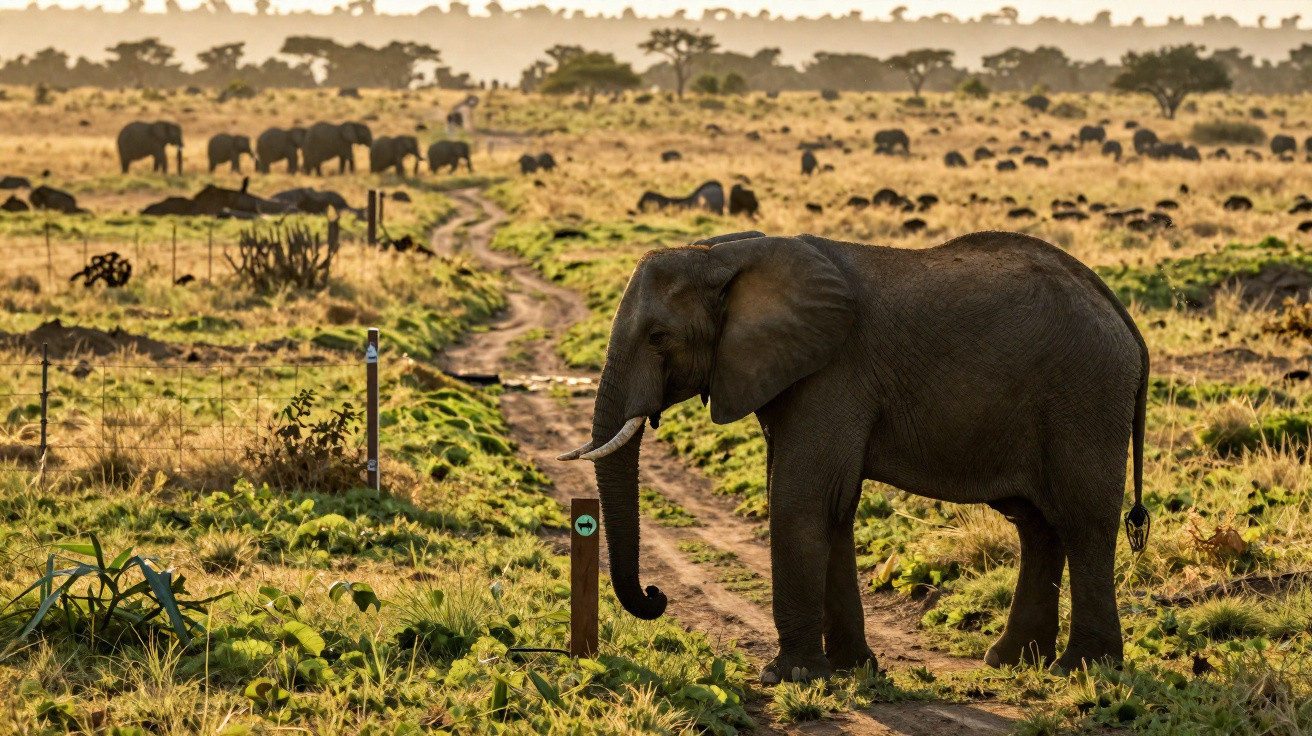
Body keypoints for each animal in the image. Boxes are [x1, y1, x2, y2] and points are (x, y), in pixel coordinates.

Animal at [557, 229, 1149, 683]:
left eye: (659, 337)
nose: (656, 595)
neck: (725, 255)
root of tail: (1119, 313)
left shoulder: (832, 375)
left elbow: (800, 501)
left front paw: (788, 676)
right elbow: (832, 508)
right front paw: (850, 670)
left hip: (1085, 395)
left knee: (1083, 522)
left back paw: (1081, 669)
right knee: (1037, 524)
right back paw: (1013, 663)